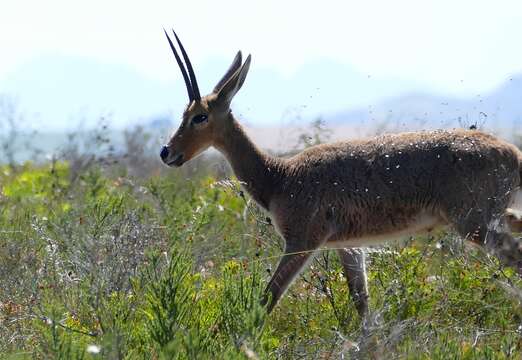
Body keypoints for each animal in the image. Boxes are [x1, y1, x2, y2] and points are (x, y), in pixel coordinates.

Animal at [157, 29, 520, 320]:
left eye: (200, 116)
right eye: (185, 113)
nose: (166, 152)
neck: (280, 176)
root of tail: (511, 152)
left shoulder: (301, 242)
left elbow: (267, 299)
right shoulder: (350, 246)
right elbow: (362, 307)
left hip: (475, 224)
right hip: (496, 216)